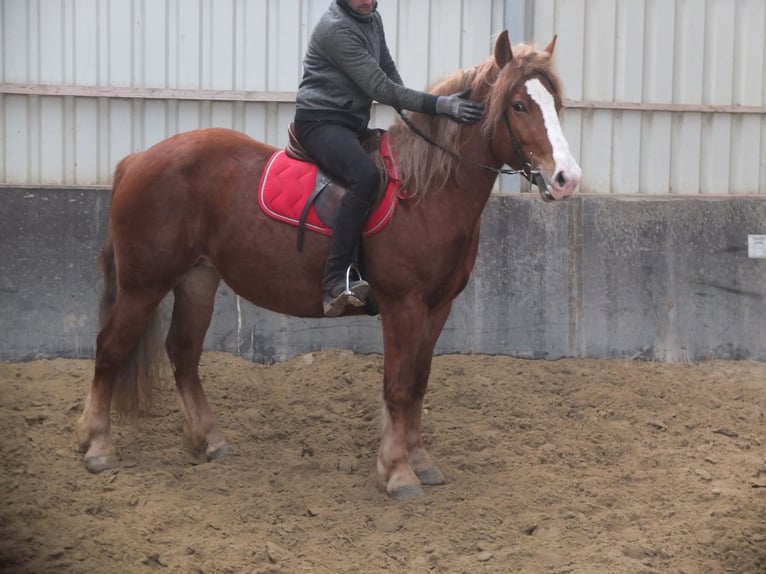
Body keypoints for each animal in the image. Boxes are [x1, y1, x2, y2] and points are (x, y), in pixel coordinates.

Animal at [76, 31, 584, 500]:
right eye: (519, 105)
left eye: (555, 102)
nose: (567, 179)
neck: (424, 192)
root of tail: (138, 159)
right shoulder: (403, 305)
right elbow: (398, 386)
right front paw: (397, 473)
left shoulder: (438, 307)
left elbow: (419, 382)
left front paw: (420, 460)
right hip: (144, 285)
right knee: (110, 348)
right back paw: (98, 445)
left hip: (197, 279)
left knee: (182, 353)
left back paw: (210, 439)